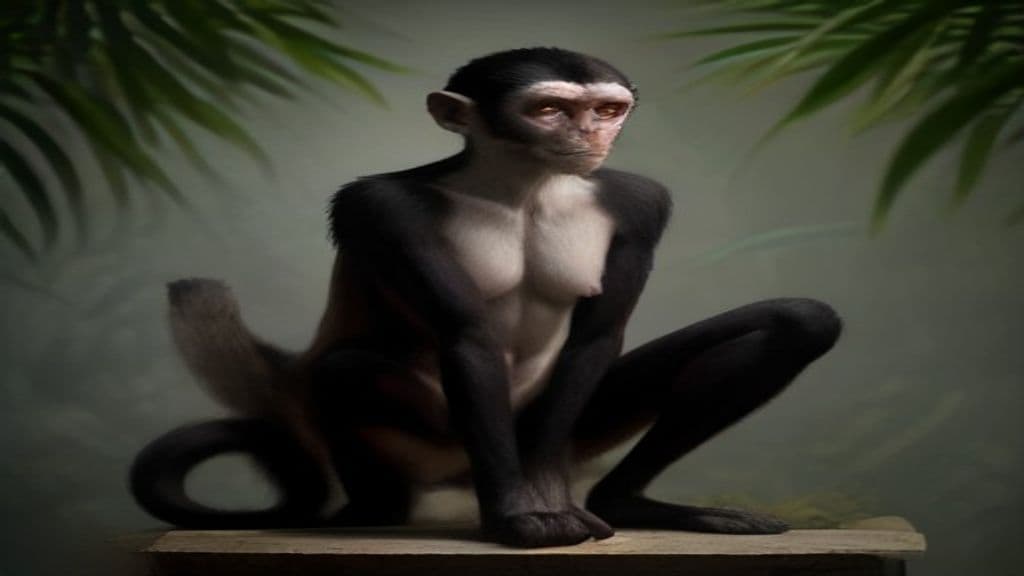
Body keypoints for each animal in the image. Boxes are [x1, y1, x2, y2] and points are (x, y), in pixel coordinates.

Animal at [131, 47, 842, 548]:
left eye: (607, 110)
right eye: (549, 109)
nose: (590, 135)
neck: (523, 188)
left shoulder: (639, 204)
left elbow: (596, 336)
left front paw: (549, 499)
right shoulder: (383, 208)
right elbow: (466, 335)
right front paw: (514, 516)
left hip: (567, 426)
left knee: (800, 322)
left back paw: (625, 502)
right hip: (440, 441)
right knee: (342, 370)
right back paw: (374, 508)